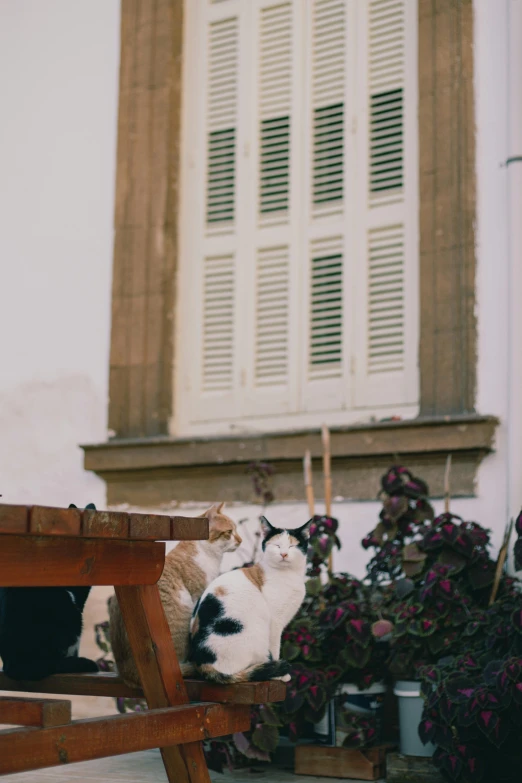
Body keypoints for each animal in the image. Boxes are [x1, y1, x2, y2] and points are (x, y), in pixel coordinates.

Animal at [187, 524, 308, 684]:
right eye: (277, 545)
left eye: (292, 546)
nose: (284, 554)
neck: (289, 574)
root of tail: (202, 664)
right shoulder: (275, 623)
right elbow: (275, 648)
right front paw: (279, 676)